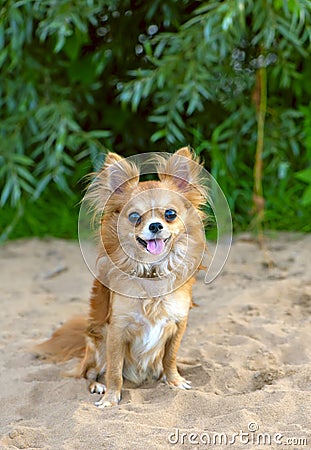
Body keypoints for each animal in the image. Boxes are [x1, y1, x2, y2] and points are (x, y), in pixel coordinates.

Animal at [36, 148, 207, 408]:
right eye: (135, 217)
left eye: (170, 214)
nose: (155, 226)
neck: (152, 270)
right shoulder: (116, 330)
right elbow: (115, 369)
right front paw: (111, 398)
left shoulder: (178, 324)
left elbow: (170, 357)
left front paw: (174, 381)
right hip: (97, 343)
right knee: (89, 372)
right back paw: (98, 386)